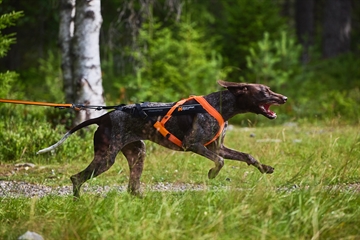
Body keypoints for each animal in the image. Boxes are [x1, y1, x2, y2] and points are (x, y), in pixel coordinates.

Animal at [38, 80, 288, 197]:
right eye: (265, 91)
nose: (284, 98)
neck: (222, 107)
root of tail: (104, 117)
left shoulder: (218, 146)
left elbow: (248, 156)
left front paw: (265, 168)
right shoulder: (193, 144)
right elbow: (220, 162)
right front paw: (212, 173)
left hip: (137, 152)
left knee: (132, 187)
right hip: (106, 157)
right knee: (77, 178)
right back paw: (78, 201)